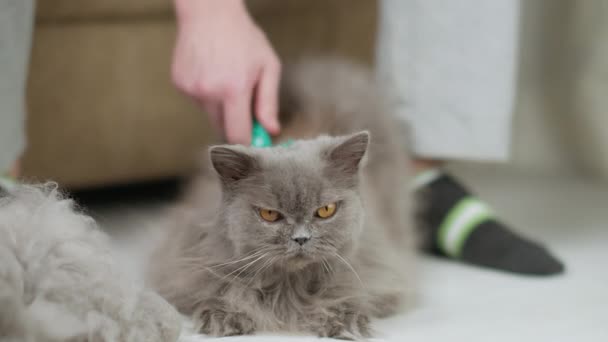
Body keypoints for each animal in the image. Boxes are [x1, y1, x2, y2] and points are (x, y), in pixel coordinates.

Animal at [151, 58, 418, 340]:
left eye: (325, 210)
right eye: (269, 215)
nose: (301, 239)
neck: (288, 286)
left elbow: (347, 292)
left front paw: (345, 321)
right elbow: (223, 289)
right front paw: (225, 316)